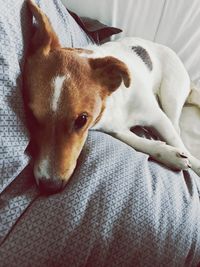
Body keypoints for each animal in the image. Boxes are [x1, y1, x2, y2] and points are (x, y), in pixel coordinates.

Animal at [24, 0, 200, 193]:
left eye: (82, 120)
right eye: (31, 117)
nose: (49, 186)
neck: (113, 103)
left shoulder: (157, 117)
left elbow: (177, 142)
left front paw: (190, 160)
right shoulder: (117, 130)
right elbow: (139, 142)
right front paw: (168, 153)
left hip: (171, 94)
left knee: (176, 127)